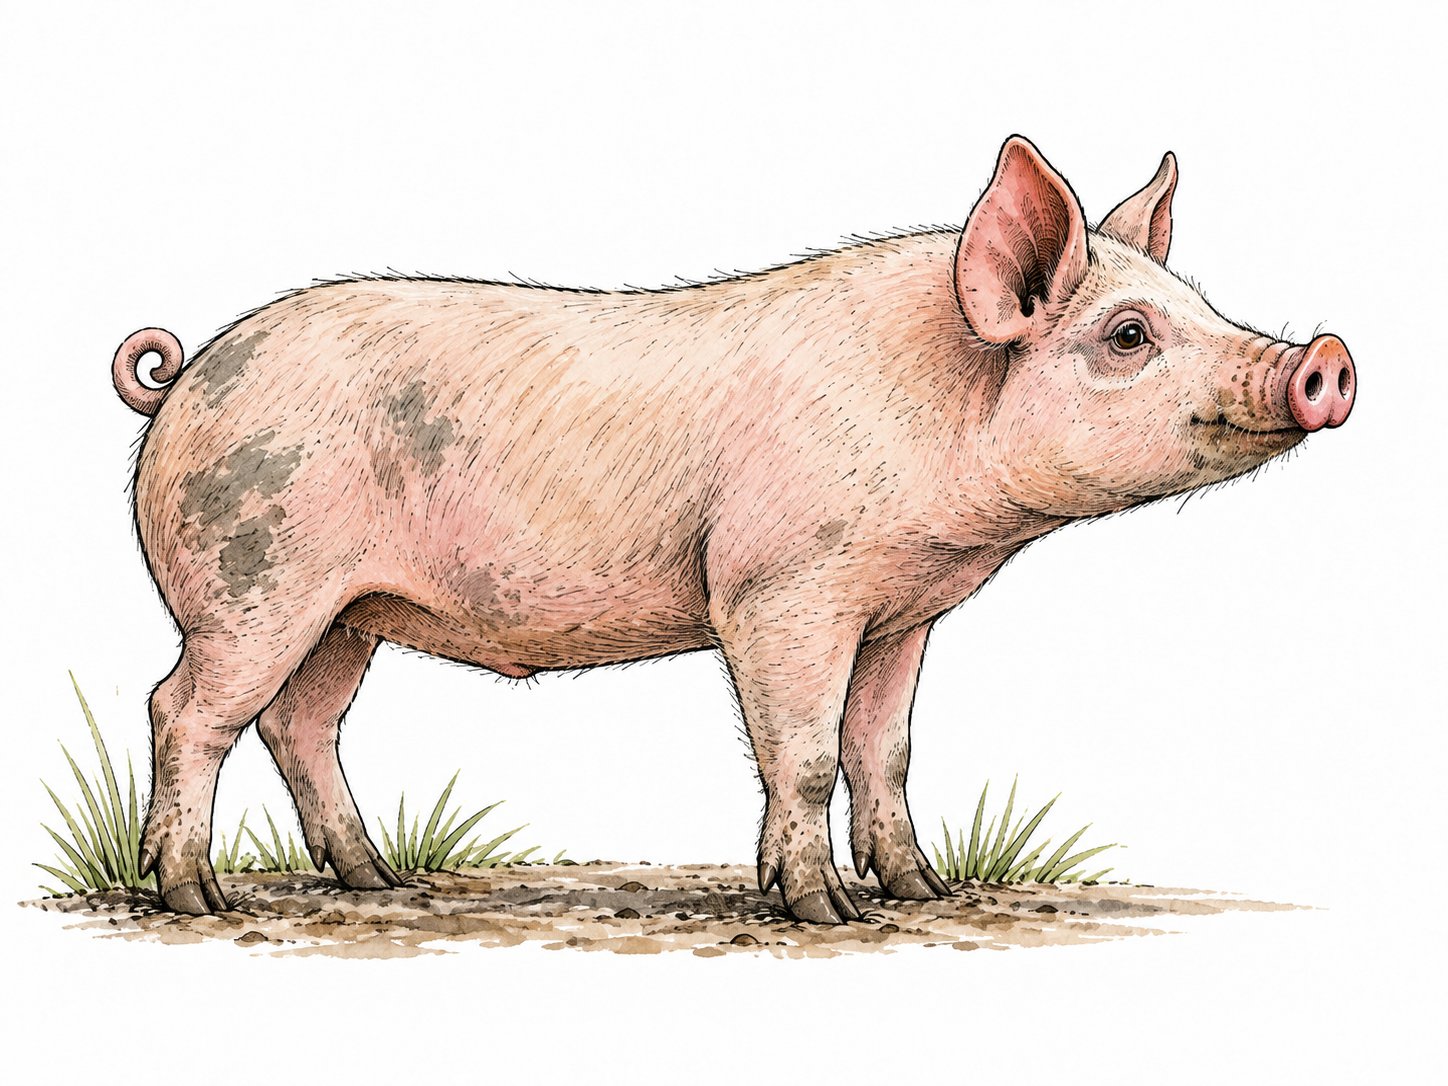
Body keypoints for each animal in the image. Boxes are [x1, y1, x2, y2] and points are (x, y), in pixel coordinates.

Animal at [112, 135, 1354, 922]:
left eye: (1200, 303)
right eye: (1128, 333)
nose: (1324, 359)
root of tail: (185, 380)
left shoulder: (899, 615)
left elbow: (881, 751)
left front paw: (924, 894)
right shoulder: (778, 590)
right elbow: (799, 757)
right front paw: (824, 914)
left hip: (348, 609)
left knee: (301, 726)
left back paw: (378, 886)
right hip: (252, 577)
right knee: (185, 711)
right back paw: (194, 898)